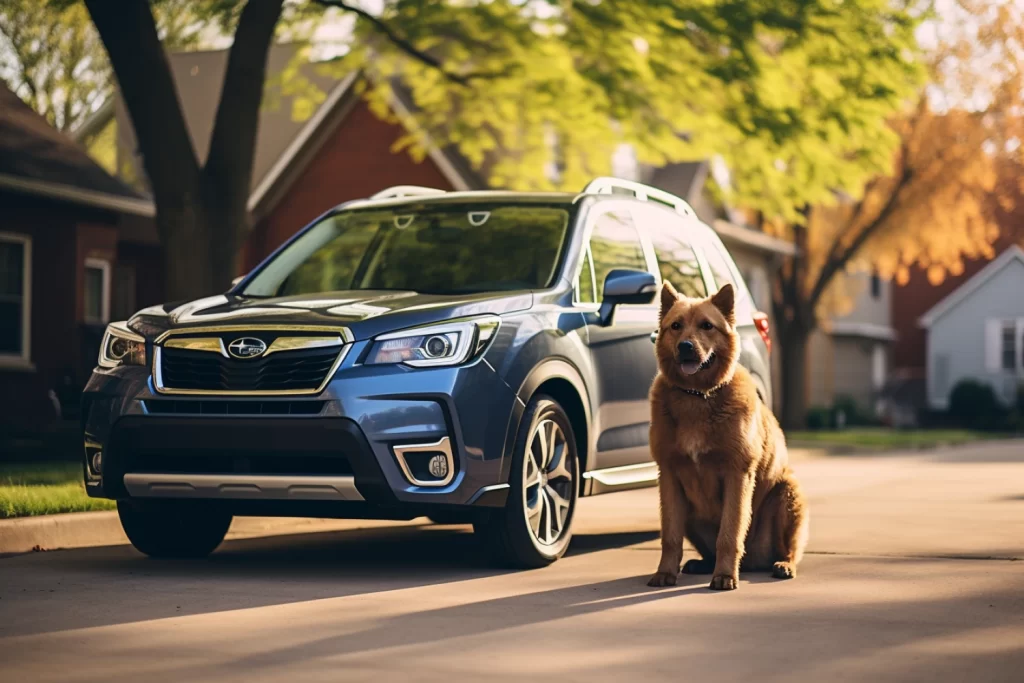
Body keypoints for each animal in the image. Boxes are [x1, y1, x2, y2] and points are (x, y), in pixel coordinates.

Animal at [647, 280, 806, 589]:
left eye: (707, 326)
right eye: (676, 326)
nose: (685, 346)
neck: (697, 396)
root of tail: (754, 562)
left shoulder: (737, 474)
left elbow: (730, 534)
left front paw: (723, 575)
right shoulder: (669, 476)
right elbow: (670, 537)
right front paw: (665, 572)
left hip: (786, 493)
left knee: (789, 549)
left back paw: (783, 565)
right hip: (690, 513)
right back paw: (701, 564)